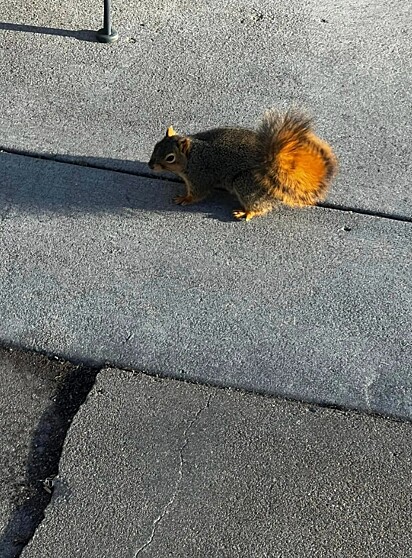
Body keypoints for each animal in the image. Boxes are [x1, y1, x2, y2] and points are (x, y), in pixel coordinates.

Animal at [149, 109, 338, 221]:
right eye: (156, 145)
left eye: (170, 158)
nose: (151, 166)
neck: (193, 155)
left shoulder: (201, 174)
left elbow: (198, 194)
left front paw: (184, 198)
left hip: (246, 184)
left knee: (258, 207)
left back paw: (247, 212)